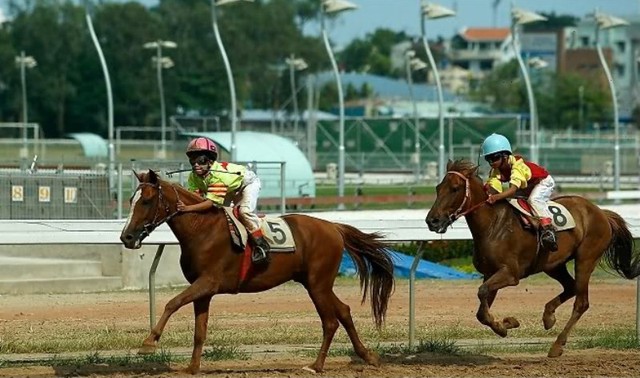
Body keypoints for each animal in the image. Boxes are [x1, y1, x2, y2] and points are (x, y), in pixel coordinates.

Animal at [119, 171, 396, 376]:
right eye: (131, 200)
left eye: (145, 201)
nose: (126, 237)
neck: (201, 229)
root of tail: (333, 227)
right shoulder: (203, 290)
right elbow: (200, 330)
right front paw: (192, 367)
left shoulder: (208, 282)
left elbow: (172, 302)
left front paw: (149, 343)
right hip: (315, 283)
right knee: (344, 311)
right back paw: (368, 356)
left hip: (318, 284)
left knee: (330, 321)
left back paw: (316, 366)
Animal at [424, 159, 640, 358]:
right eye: (438, 188)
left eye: (455, 188)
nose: (432, 221)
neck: (493, 225)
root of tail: (601, 212)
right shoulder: (490, 273)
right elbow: (481, 311)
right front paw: (506, 325)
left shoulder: (510, 274)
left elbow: (482, 293)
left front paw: (505, 325)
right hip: (553, 264)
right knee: (570, 287)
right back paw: (548, 317)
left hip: (586, 259)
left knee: (581, 302)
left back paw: (557, 345)